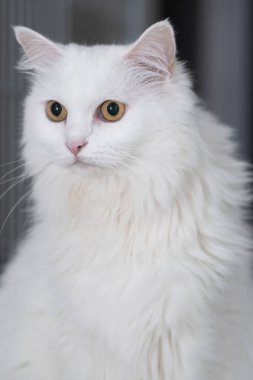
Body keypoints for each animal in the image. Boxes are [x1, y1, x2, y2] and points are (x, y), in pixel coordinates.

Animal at [0, 20, 253, 380]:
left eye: (111, 110)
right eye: (56, 111)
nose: (74, 145)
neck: (116, 211)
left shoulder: (187, 341)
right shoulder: (83, 344)